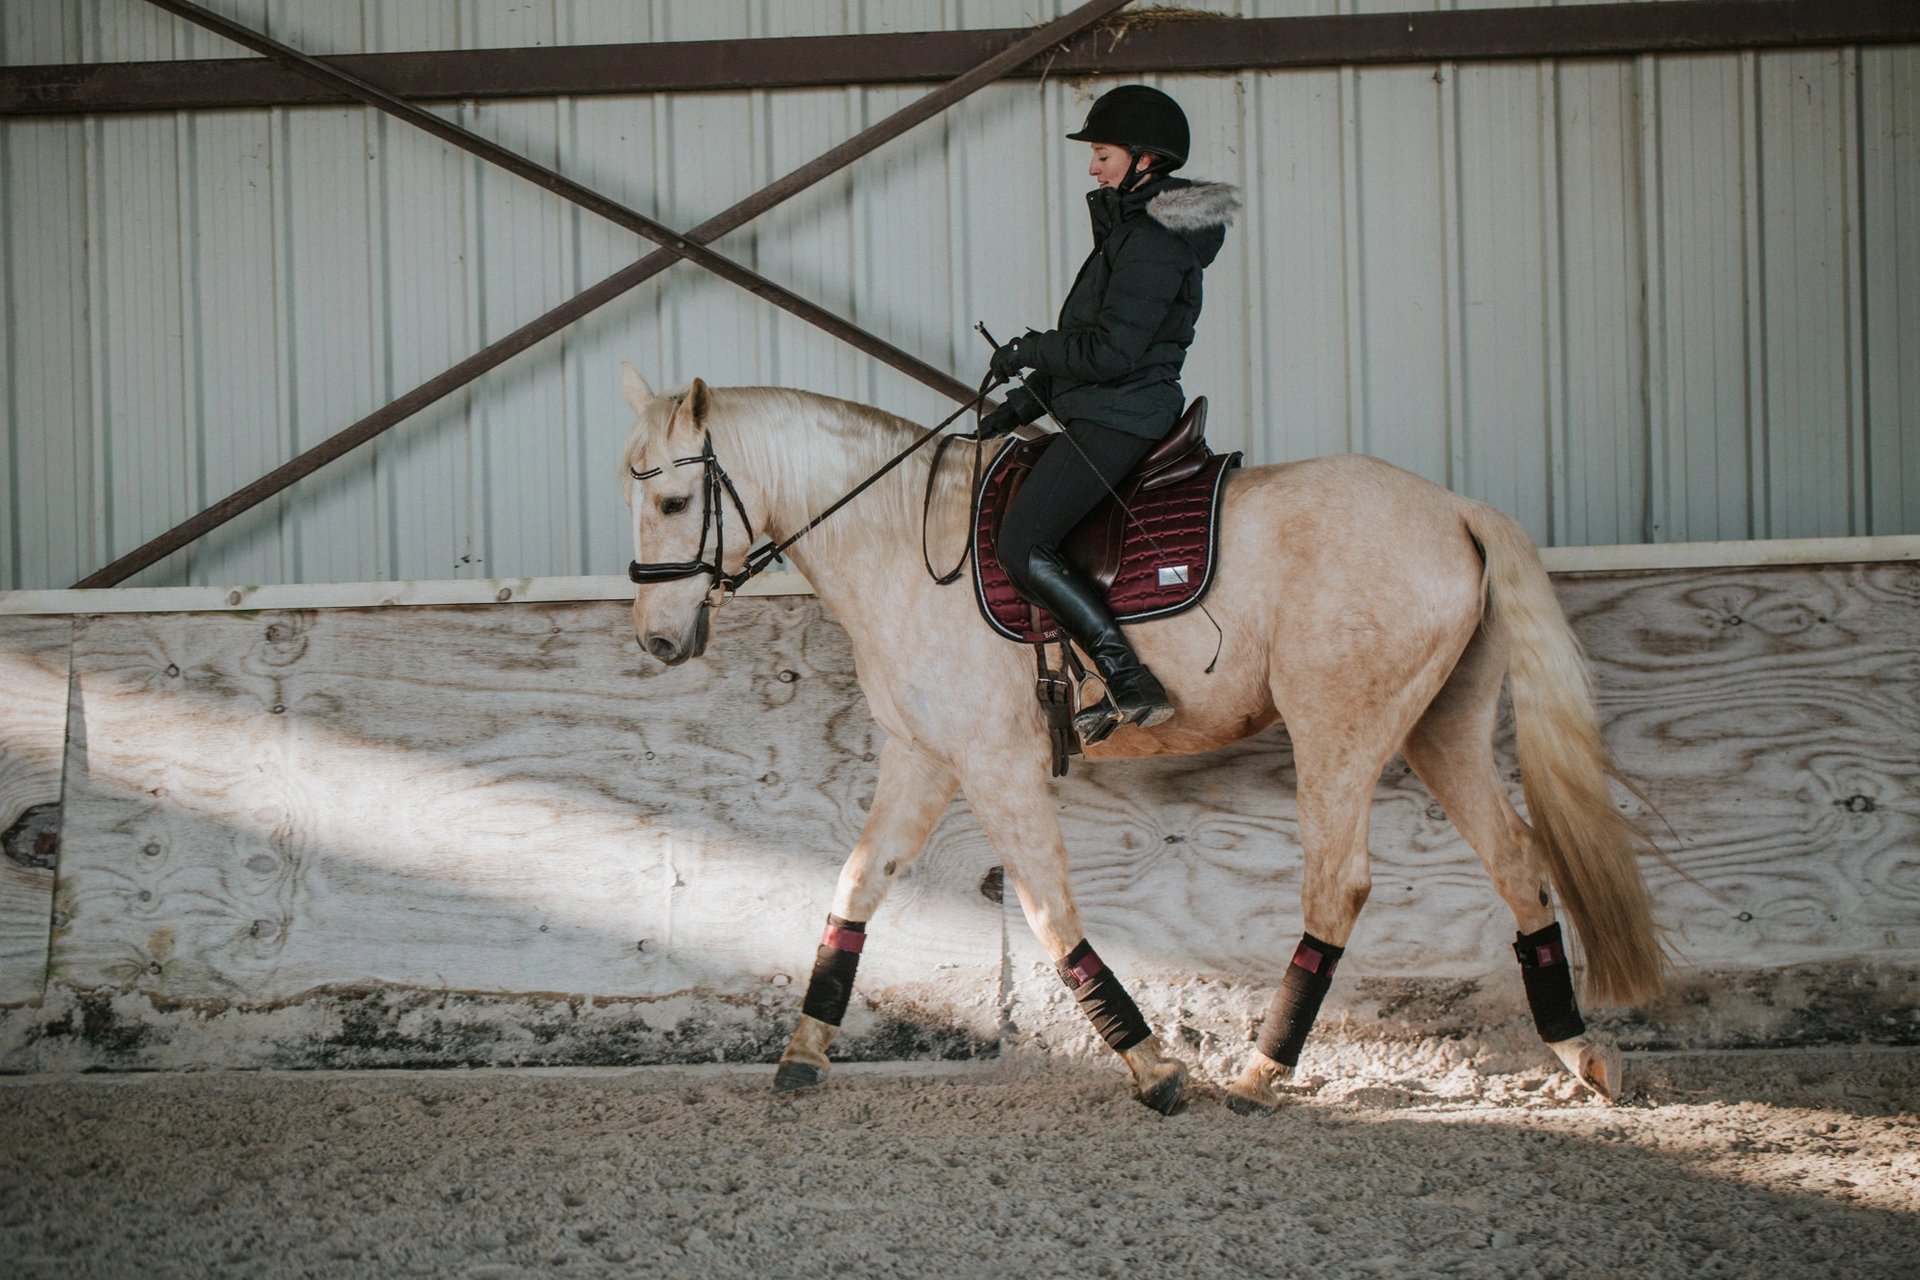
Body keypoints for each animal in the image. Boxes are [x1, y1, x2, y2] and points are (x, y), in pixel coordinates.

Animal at [618, 364, 1665, 1114]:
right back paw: (1582, 1056)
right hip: (1441, 728)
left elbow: (1048, 911)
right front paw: (802, 1054)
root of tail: (1455, 509)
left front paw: (1153, 1069)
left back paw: (1260, 1076)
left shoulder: (995, 764)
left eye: (672, 504)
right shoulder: (923, 758)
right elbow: (854, 887)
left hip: (1340, 727)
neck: (901, 544)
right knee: (1517, 861)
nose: (659, 641)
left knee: (1339, 885)